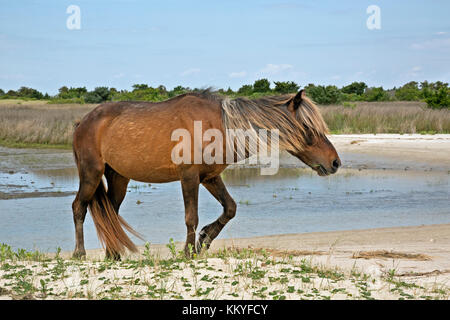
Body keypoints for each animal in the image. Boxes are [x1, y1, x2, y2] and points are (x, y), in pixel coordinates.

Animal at [72, 89, 342, 258]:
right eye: (308, 128)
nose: (335, 162)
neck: (218, 125)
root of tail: (83, 121)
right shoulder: (189, 177)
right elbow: (191, 217)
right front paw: (188, 252)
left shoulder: (210, 178)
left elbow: (230, 208)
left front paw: (204, 240)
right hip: (91, 174)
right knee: (79, 207)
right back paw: (80, 253)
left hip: (119, 177)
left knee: (110, 212)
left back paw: (113, 253)